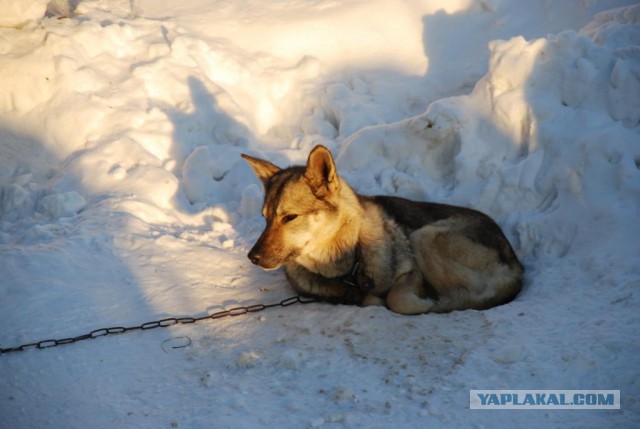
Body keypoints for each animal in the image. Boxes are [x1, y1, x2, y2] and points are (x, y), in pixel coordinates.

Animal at [242, 145, 524, 312]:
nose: (252, 257)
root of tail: (517, 265)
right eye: (265, 218)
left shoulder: (412, 272)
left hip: (424, 236)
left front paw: (420, 302)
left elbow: (396, 300)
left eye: (289, 217)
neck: (349, 264)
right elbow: (372, 299)